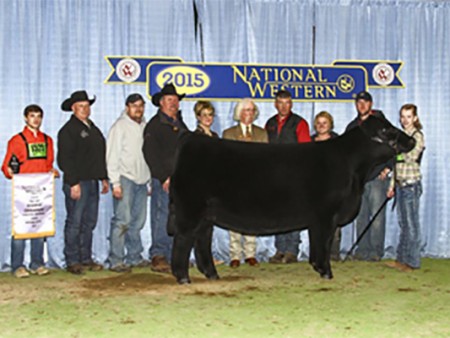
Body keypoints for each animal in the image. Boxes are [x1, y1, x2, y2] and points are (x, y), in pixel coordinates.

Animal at [169, 115, 414, 284]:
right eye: (387, 129)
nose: (411, 140)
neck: (352, 167)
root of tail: (190, 139)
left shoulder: (318, 218)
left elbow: (317, 243)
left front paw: (317, 267)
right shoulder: (327, 214)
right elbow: (324, 243)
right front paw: (326, 272)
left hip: (206, 214)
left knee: (202, 240)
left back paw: (211, 274)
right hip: (190, 209)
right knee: (183, 239)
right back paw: (183, 277)